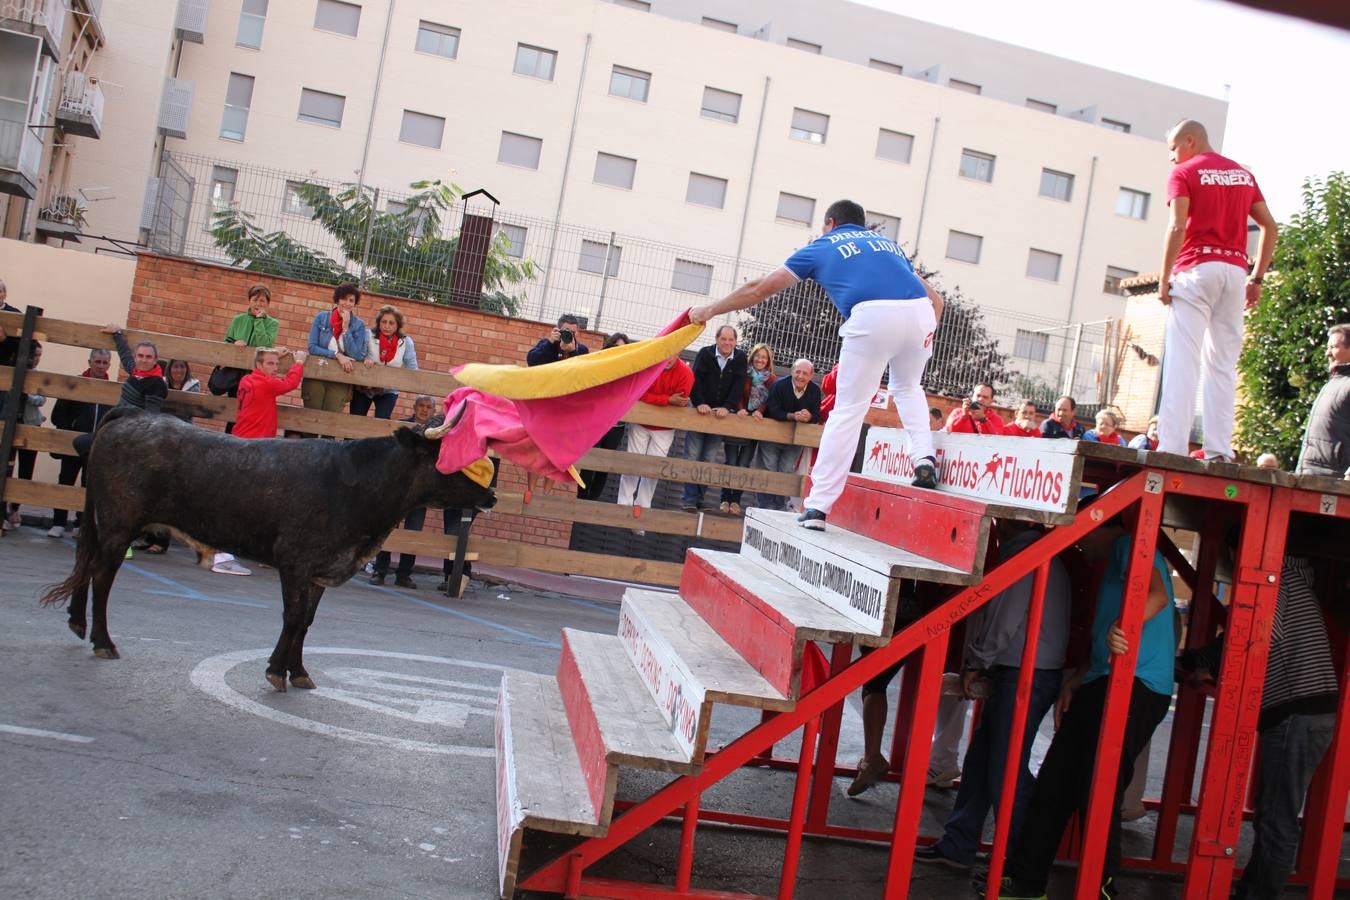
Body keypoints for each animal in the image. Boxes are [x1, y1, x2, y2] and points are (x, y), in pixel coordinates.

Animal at [40, 412, 496, 696]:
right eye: (452, 457)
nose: (491, 496)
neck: (358, 484)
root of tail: (131, 415)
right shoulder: (295, 561)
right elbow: (292, 618)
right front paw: (277, 671)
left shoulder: (321, 569)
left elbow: (307, 622)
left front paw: (300, 672)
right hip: (119, 524)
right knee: (102, 575)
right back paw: (103, 641)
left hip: (101, 522)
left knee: (86, 563)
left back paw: (78, 624)